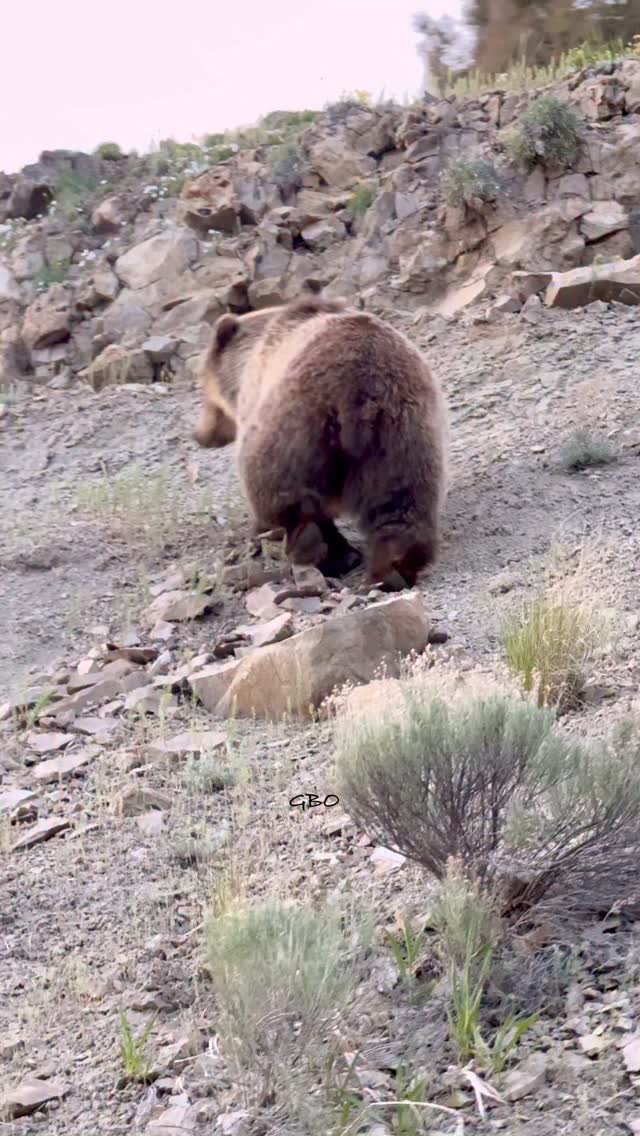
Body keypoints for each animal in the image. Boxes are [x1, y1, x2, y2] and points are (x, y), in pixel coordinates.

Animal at [192, 292, 448, 589]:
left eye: (203, 389)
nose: (200, 435)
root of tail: (359, 394)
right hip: (402, 434)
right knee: (402, 503)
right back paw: (392, 568)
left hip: (293, 426)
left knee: (281, 493)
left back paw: (317, 548)